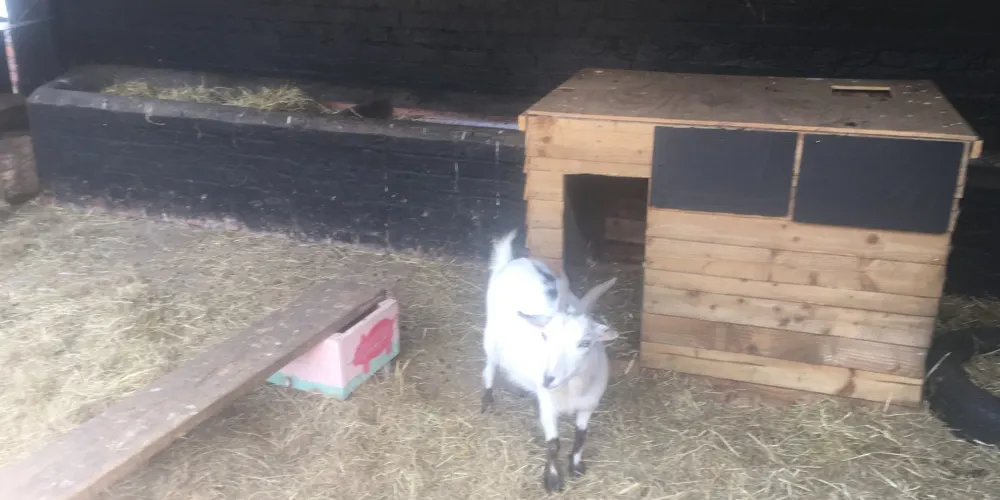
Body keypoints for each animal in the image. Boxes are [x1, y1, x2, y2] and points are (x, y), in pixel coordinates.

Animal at [480, 229, 618, 493]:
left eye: (586, 342)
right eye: (545, 336)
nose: (547, 379)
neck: (572, 389)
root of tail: (513, 261)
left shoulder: (589, 405)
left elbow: (581, 436)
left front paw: (576, 466)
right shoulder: (548, 406)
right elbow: (553, 444)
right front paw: (553, 480)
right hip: (490, 336)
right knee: (489, 366)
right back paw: (487, 400)